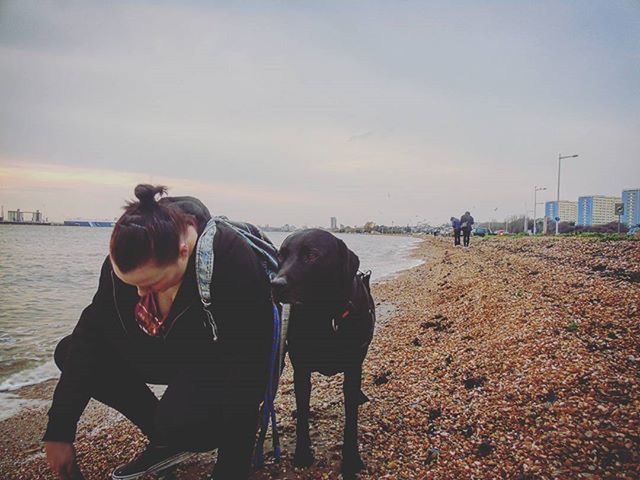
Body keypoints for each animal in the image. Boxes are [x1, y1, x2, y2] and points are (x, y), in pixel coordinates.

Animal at [270, 228, 376, 476]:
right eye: (281, 255)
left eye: (312, 255)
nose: (275, 284)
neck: (324, 313)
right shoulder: (301, 369)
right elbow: (302, 413)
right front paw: (302, 455)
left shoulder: (353, 367)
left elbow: (351, 420)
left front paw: (351, 460)